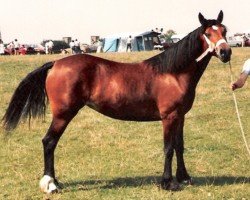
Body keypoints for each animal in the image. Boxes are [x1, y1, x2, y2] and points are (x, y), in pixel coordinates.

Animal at [2, 10, 231, 192]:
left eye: (224, 30)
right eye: (208, 33)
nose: (226, 52)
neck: (173, 73)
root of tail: (56, 63)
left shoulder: (180, 117)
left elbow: (179, 146)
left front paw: (184, 177)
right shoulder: (169, 117)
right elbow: (168, 148)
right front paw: (168, 183)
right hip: (63, 114)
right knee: (49, 142)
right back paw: (51, 184)